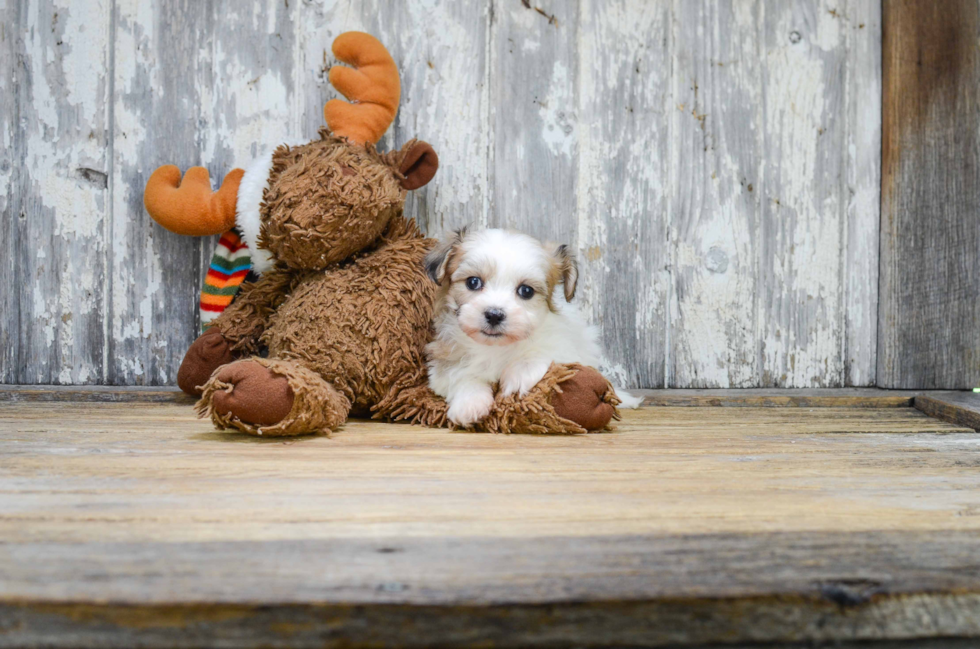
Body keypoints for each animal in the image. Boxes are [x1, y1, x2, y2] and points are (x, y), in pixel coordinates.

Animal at [424, 228, 640, 426]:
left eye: (526, 291)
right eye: (473, 282)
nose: (494, 314)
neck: (497, 348)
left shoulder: (565, 346)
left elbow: (545, 353)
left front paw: (519, 375)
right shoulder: (445, 361)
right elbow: (461, 375)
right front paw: (469, 404)